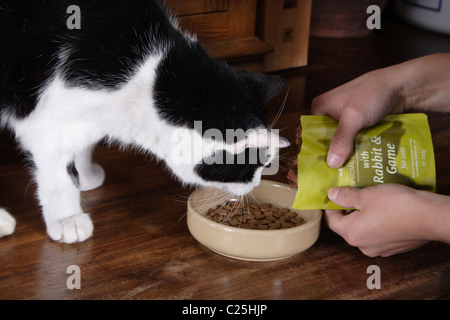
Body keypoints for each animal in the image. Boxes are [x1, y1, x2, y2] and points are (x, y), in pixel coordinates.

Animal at [0, 0, 288, 242]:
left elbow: (82, 144)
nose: (257, 184)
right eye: (255, 166)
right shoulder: (46, 123)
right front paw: (67, 217)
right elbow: (58, 177)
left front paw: (84, 176)